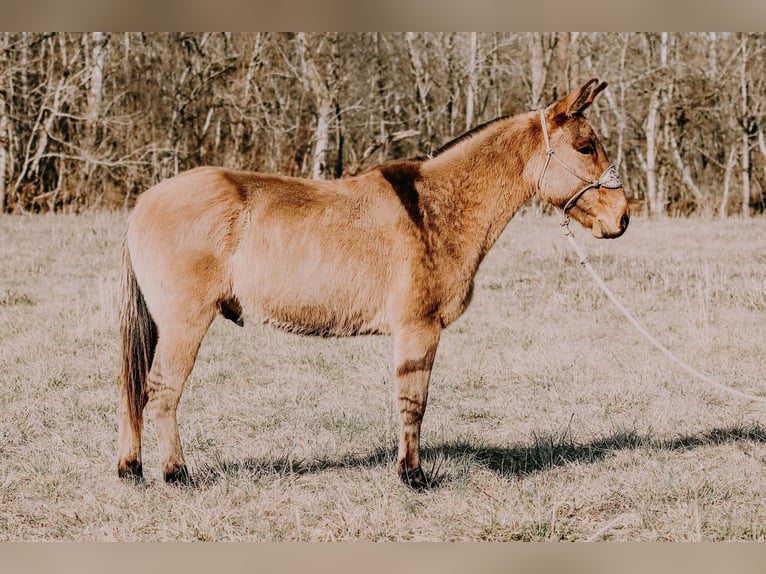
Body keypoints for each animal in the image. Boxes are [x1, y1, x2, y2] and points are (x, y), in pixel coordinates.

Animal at [114, 77, 632, 490]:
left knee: (134, 388)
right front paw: (413, 476)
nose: (623, 218)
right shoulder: (419, 329)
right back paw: (176, 473)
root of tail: (144, 202)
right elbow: (414, 400)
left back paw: (131, 468)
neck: (435, 208)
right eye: (586, 147)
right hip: (185, 322)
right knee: (162, 390)